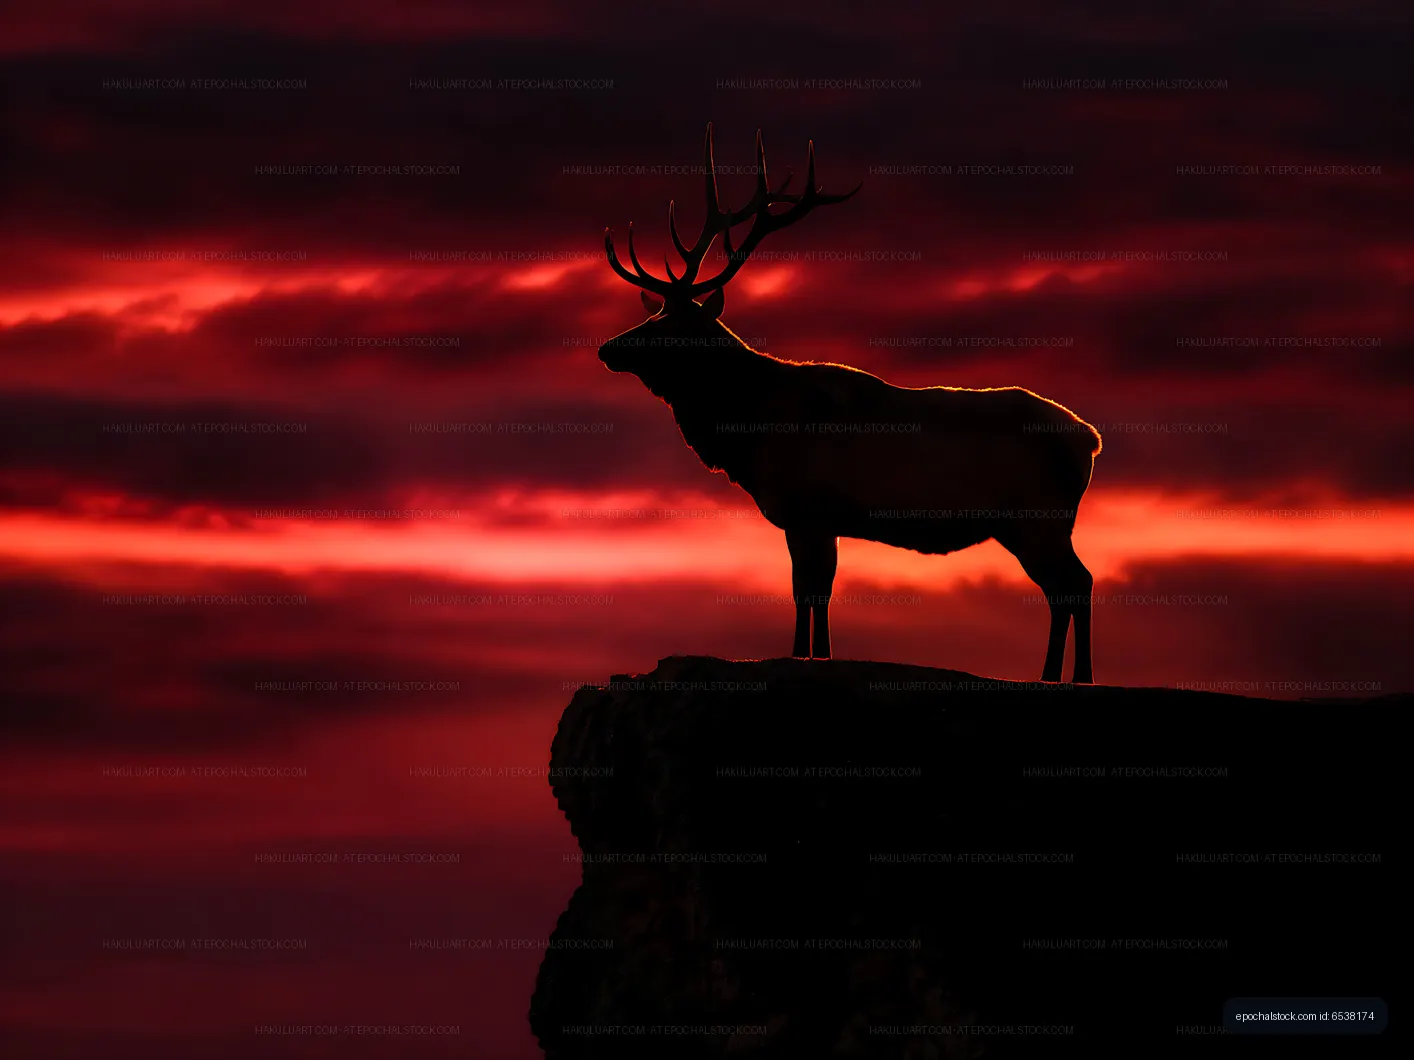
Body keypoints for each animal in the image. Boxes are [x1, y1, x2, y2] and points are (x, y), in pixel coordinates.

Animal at [599, 124, 1102, 683]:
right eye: (652, 315)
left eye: (671, 325)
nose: (607, 348)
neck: (749, 430)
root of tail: (1089, 439)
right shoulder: (824, 520)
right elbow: (821, 592)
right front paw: (820, 654)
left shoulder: (807, 508)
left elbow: (806, 591)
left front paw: (802, 655)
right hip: (1033, 523)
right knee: (1066, 587)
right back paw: (1056, 674)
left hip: (1037, 515)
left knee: (1076, 582)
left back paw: (1073, 676)